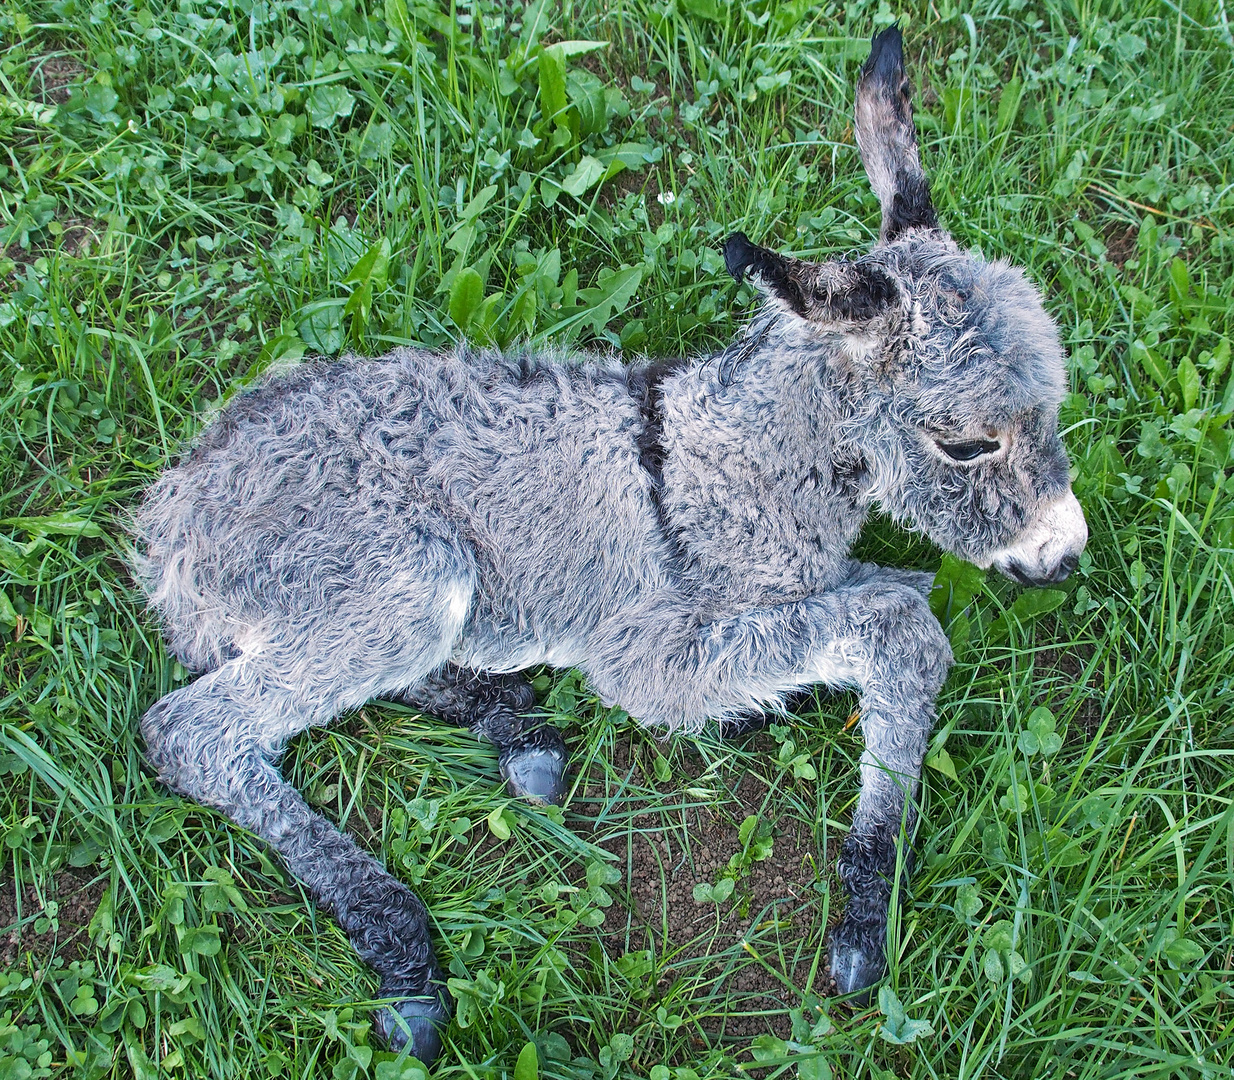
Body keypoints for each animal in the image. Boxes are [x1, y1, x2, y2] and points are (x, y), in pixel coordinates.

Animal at [135, 29, 1090, 1066]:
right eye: (966, 445)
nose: (1068, 553)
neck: (722, 460)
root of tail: (170, 520)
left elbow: (895, 595)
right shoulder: (652, 651)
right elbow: (902, 625)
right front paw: (862, 916)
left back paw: (518, 734)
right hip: (402, 574)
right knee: (191, 730)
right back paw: (401, 944)